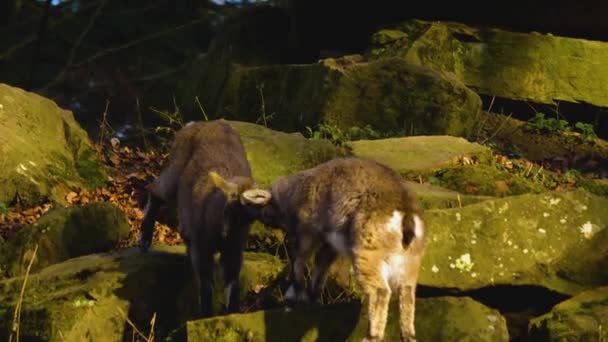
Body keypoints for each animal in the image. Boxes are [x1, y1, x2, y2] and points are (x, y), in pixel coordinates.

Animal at [139, 120, 272, 318]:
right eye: (228, 207)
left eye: (250, 216)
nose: (226, 234)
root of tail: (193, 124)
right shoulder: (202, 248)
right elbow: (207, 287)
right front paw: (206, 315)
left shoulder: (234, 251)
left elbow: (232, 285)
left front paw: (232, 313)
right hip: (174, 170)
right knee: (155, 189)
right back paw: (144, 240)